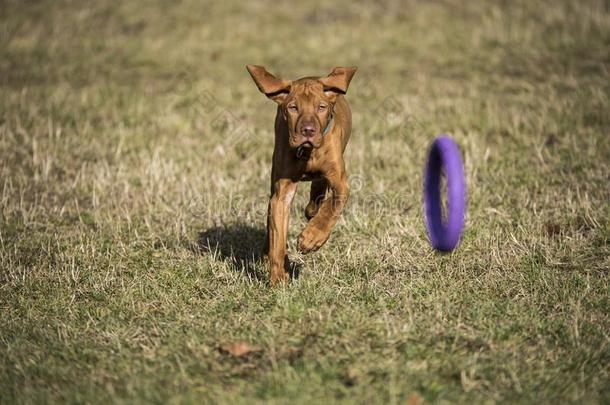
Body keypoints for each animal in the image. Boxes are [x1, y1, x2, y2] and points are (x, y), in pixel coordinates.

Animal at [245, 64, 354, 286]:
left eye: (321, 107)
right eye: (293, 108)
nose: (308, 131)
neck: (307, 153)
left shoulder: (341, 182)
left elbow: (333, 204)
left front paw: (312, 237)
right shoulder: (281, 194)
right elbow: (278, 238)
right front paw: (278, 277)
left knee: (318, 194)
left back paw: (312, 212)